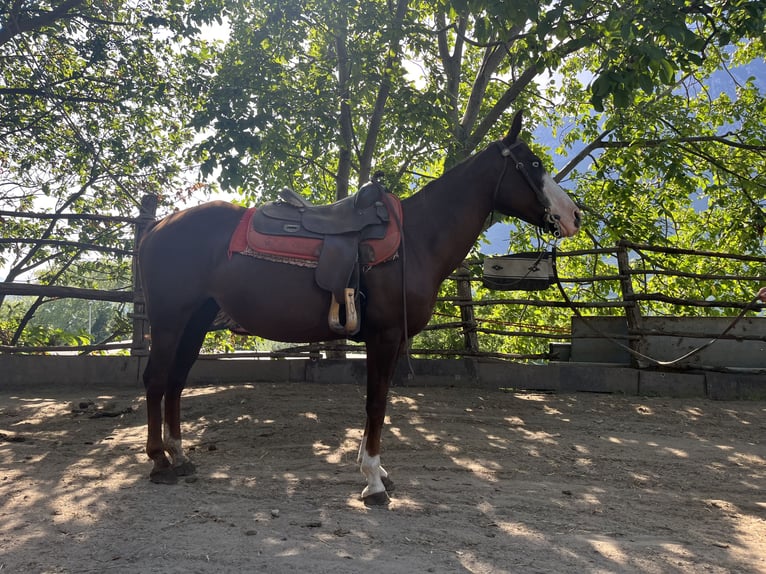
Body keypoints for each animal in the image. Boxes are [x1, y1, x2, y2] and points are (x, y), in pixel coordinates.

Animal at [137, 110, 581, 505]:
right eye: (534, 164)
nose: (574, 216)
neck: (416, 239)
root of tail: (158, 227)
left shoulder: (390, 340)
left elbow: (378, 401)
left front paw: (377, 471)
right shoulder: (384, 336)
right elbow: (376, 401)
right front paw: (373, 481)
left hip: (194, 322)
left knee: (176, 380)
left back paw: (180, 456)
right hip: (169, 321)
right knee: (156, 379)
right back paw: (159, 461)